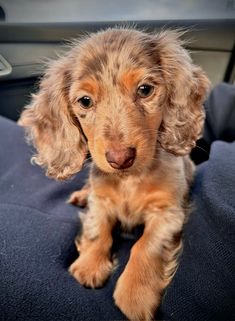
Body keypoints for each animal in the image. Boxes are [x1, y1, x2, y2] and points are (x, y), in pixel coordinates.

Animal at [18, 28, 209, 318]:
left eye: (145, 90)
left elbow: (146, 245)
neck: (129, 179)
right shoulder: (101, 202)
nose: (120, 159)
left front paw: (135, 294)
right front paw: (89, 265)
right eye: (85, 101)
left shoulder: (168, 213)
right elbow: (98, 230)